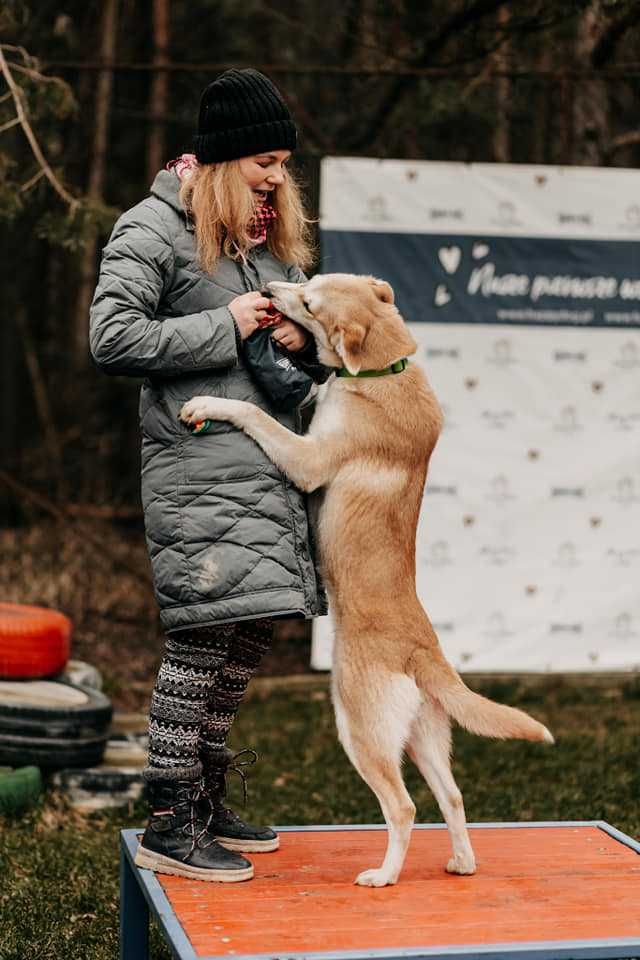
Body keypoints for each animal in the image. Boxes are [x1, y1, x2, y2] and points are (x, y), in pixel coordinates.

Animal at [179, 274, 552, 888]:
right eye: (309, 283)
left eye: (308, 301)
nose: (270, 288)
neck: (383, 371)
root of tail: (422, 652)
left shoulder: (307, 458)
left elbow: (257, 417)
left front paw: (211, 402)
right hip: (423, 738)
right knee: (452, 796)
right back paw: (462, 862)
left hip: (360, 730)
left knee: (404, 807)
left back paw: (384, 876)